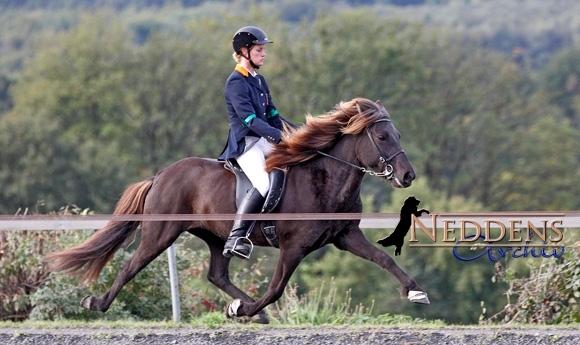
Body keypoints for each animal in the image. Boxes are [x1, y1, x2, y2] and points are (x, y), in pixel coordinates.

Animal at [45, 97, 428, 322]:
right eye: (382, 137)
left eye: (397, 134)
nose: (408, 176)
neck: (326, 179)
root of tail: (161, 175)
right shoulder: (294, 247)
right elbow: (275, 289)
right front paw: (244, 309)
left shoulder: (346, 236)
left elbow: (385, 260)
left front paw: (415, 291)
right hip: (161, 233)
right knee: (131, 265)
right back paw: (96, 303)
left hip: (216, 236)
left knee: (218, 274)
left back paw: (244, 307)